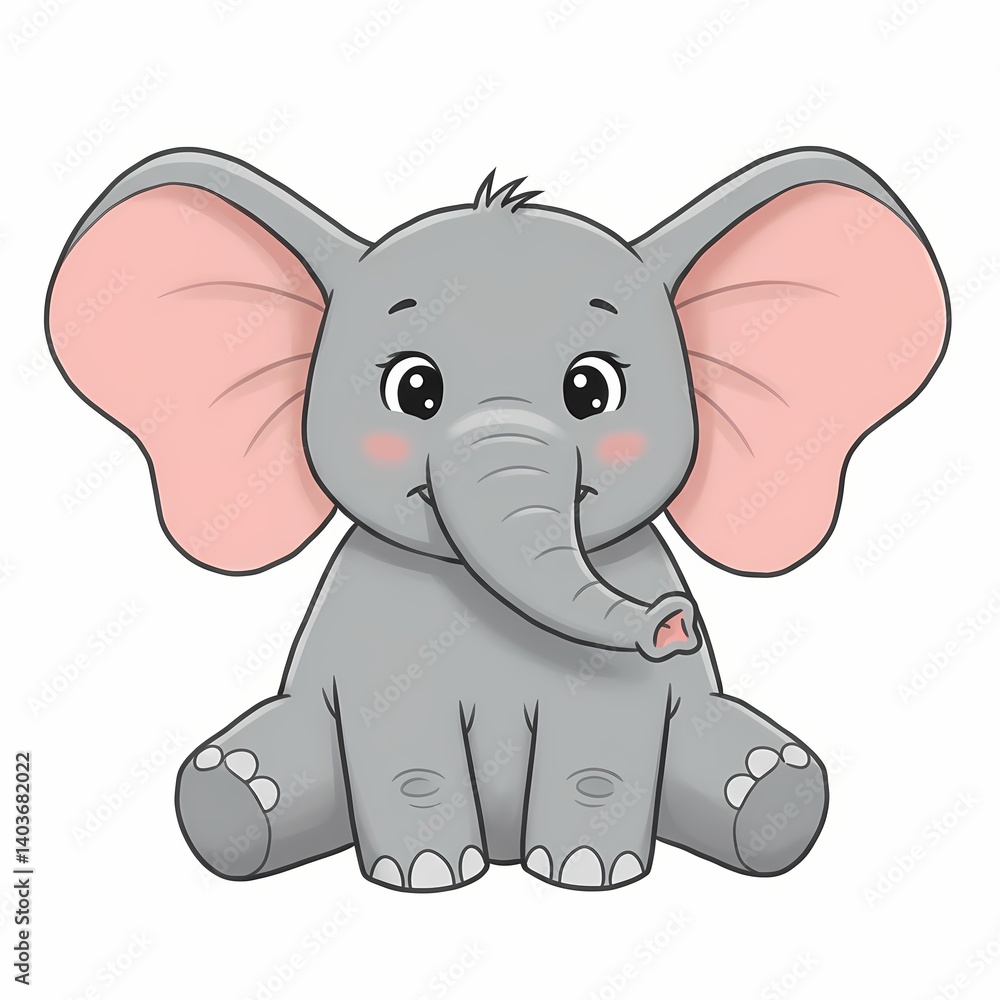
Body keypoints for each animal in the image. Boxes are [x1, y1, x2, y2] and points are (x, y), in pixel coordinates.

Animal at [46, 145, 948, 891]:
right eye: (413, 389)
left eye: (593, 389)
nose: (673, 625)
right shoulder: (377, 638)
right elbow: (405, 746)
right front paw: (428, 878)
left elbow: (601, 746)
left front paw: (587, 874)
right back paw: (235, 791)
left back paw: (769, 784)